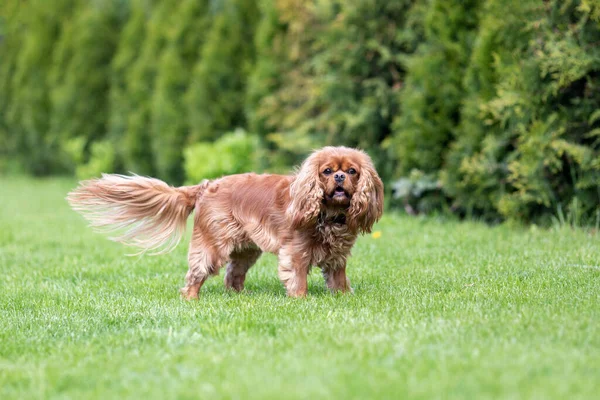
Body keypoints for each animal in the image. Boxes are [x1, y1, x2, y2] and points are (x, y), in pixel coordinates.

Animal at [67, 146, 384, 296]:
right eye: (327, 171)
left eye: (353, 171)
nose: (340, 177)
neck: (329, 214)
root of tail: (207, 185)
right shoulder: (295, 254)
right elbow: (298, 280)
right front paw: (301, 301)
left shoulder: (337, 258)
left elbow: (339, 280)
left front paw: (344, 298)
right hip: (212, 245)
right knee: (195, 276)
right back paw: (191, 299)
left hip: (246, 250)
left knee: (233, 275)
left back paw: (240, 297)